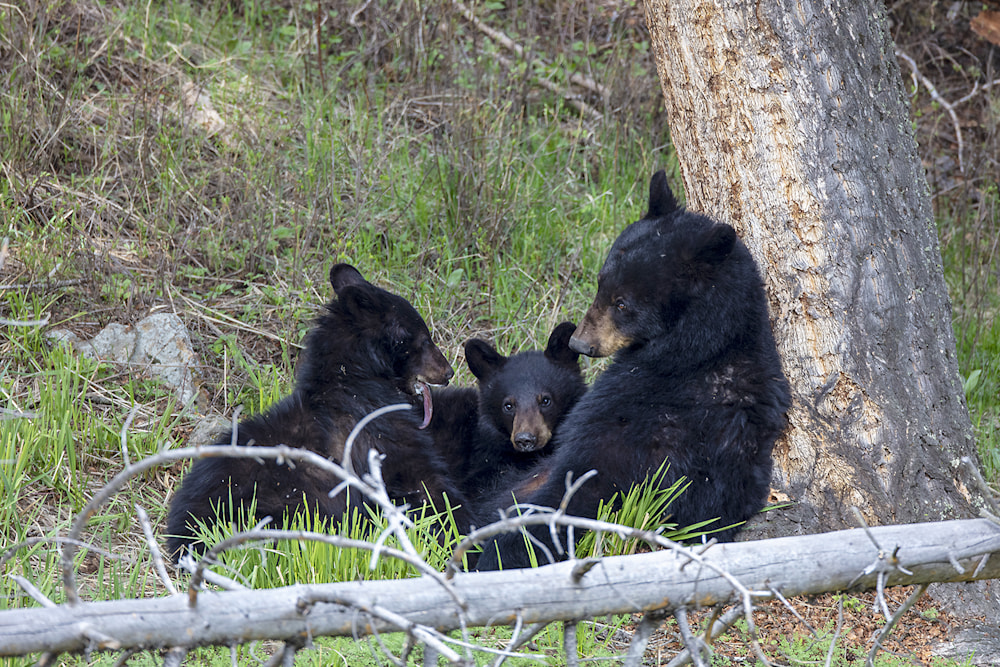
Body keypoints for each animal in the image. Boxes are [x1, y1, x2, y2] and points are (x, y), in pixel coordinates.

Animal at [166, 264, 474, 560]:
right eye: (424, 339)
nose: (448, 372)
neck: (357, 382)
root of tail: (183, 536)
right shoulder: (381, 439)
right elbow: (426, 487)